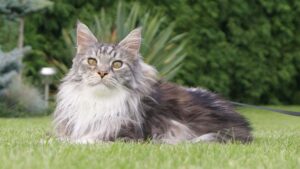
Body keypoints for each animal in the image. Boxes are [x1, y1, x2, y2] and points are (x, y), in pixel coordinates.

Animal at [52, 21, 252, 144]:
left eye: (117, 64)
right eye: (92, 61)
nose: (102, 72)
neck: (100, 101)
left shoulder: (128, 134)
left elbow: (82, 140)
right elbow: (59, 138)